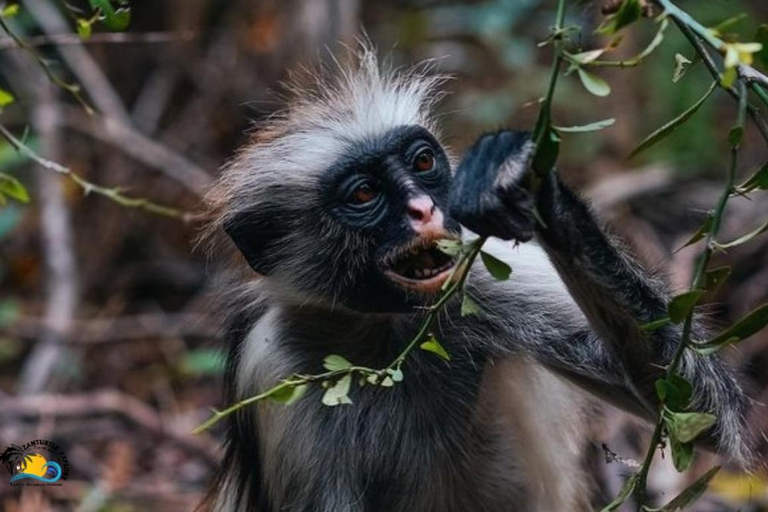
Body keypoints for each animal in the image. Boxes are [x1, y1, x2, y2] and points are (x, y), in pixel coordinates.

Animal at [201, 49, 752, 512]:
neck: (388, 332)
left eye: (423, 162)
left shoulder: (480, 283)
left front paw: (529, 182)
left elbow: (692, 413)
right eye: (363, 194)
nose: (424, 209)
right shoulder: (274, 362)